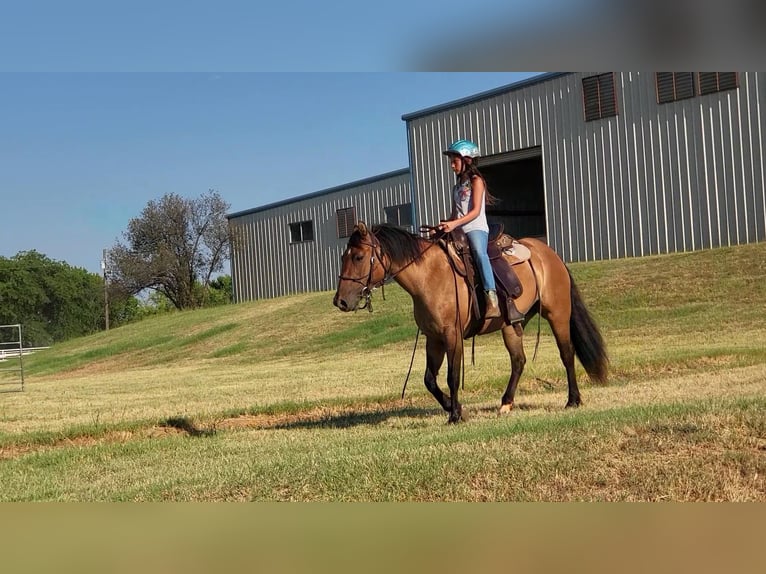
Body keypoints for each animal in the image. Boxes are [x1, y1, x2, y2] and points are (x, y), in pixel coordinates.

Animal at [332, 223, 608, 426]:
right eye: (344, 256)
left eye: (358, 256)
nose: (340, 301)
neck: (429, 276)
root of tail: (550, 255)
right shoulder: (433, 338)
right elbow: (429, 379)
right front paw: (456, 409)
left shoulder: (451, 334)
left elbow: (452, 376)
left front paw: (455, 415)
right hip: (511, 326)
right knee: (518, 361)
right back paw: (505, 404)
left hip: (557, 314)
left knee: (567, 354)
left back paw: (573, 400)